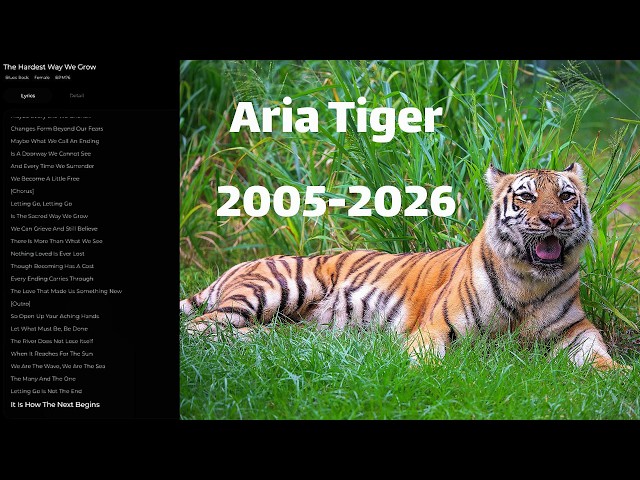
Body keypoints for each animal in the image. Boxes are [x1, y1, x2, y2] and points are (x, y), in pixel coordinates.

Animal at [180, 163, 628, 371]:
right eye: (526, 197)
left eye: (566, 196)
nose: (553, 220)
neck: (529, 283)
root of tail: (239, 264)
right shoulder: (436, 327)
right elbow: (429, 361)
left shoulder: (575, 330)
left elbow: (600, 357)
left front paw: (619, 377)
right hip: (277, 287)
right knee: (201, 328)